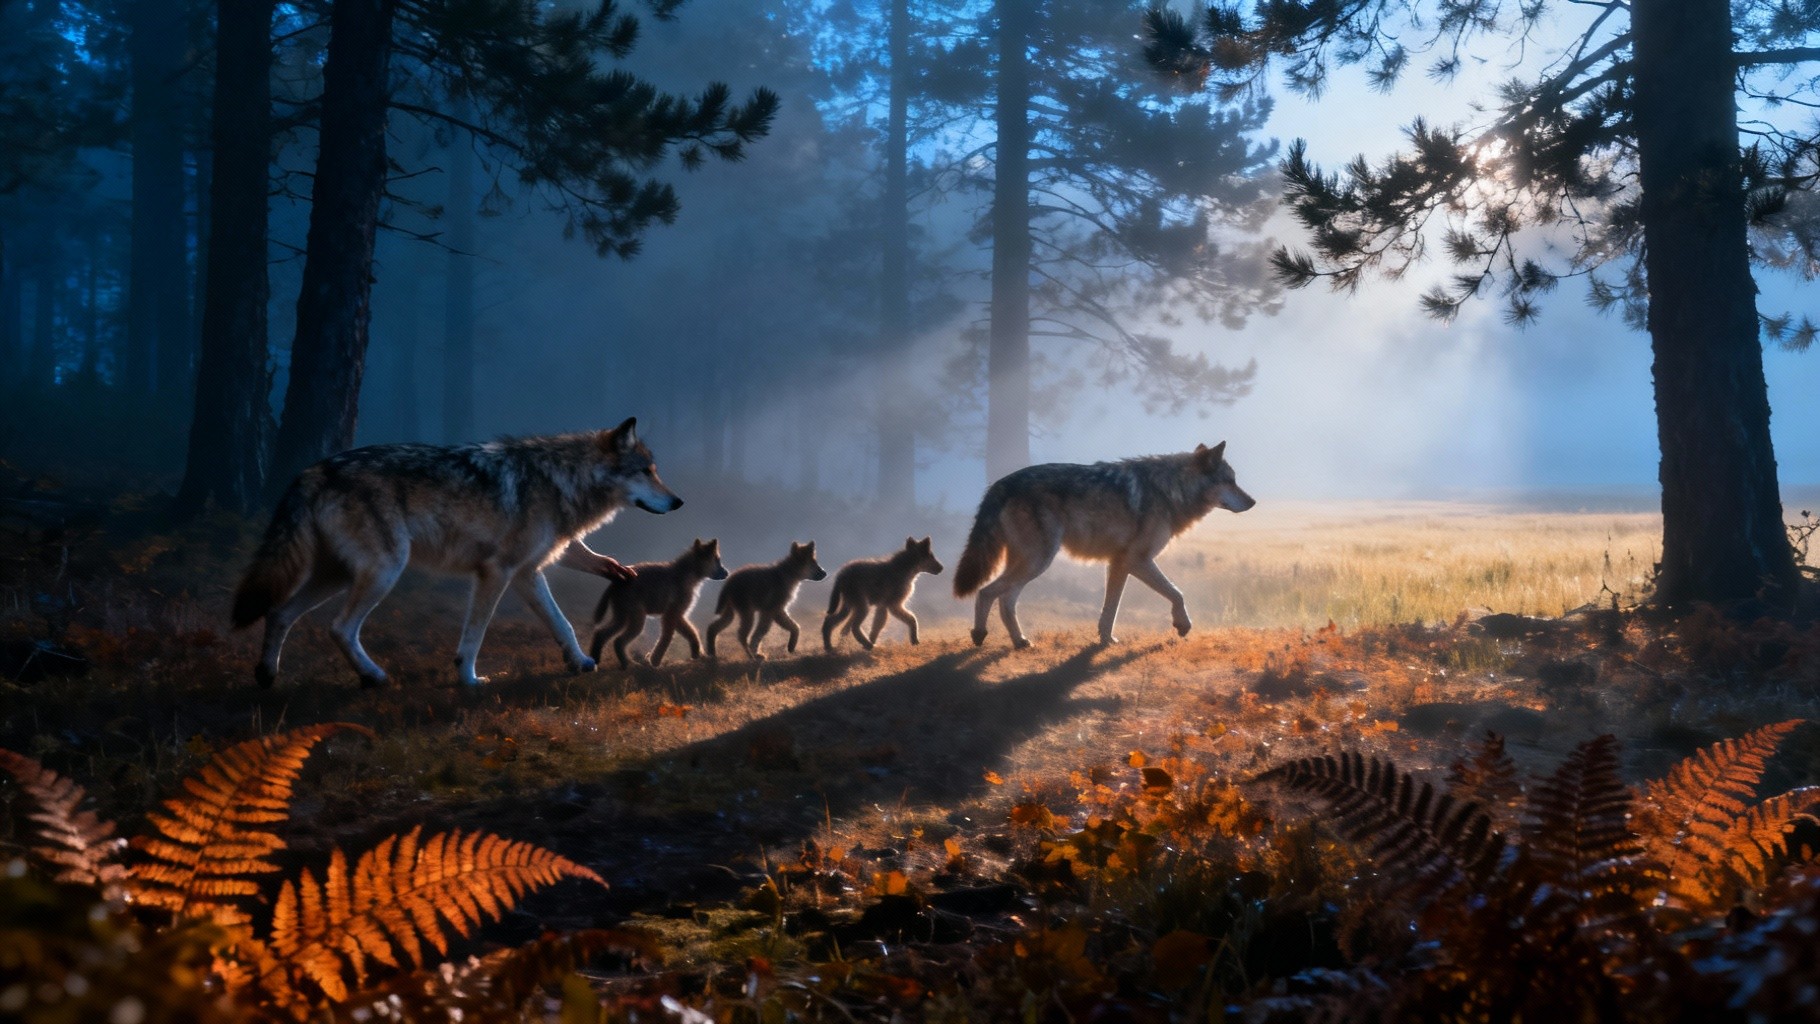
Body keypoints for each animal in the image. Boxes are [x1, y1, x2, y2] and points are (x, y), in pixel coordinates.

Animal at [232, 419, 681, 688]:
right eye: (646, 471)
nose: (678, 502)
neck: (560, 480)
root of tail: (312, 471)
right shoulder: (497, 572)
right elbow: (475, 634)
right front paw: (468, 679)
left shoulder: (527, 572)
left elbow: (563, 624)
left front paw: (581, 662)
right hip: (384, 571)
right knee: (339, 628)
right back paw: (374, 676)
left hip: (338, 575)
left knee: (280, 613)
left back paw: (267, 676)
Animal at [588, 538, 729, 668]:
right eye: (717, 560)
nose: (727, 573)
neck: (688, 573)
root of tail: (618, 582)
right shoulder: (670, 615)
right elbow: (667, 638)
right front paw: (655, 661)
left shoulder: (678, 615)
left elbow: (691, 633)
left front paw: (697, 654)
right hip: (636, 618)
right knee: (618, 641)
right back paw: (629, 664)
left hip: (622, 616)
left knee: (601, 633)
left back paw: (597, 660)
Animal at [953, 442, 1254, 649]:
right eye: (1230, 481)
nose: (1252, 502)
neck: (1169, 490)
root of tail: (1001, 483)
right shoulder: (1137, 560)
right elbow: (1177, 593)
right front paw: (1182, 625)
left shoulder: (1118, 563)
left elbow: (1111, 608)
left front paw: (1106, 640)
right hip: (1038, 561)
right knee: (986, 592)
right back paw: (979, 634)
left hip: (1029, 563)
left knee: (1006, 599)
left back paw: (1020, 641)